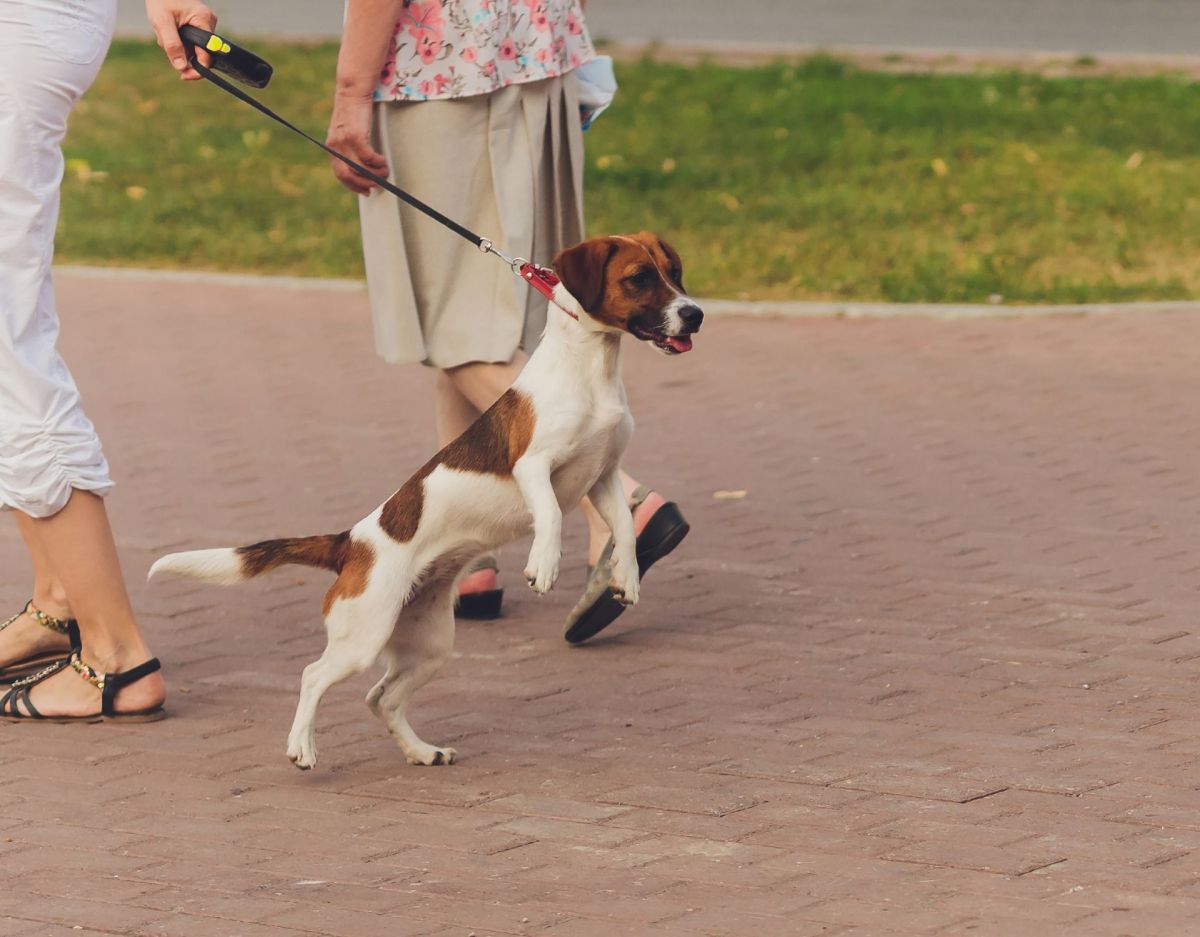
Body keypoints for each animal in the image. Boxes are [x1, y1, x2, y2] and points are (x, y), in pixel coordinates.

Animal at [147, 230, 700, 763]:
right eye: (639, 277)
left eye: (674, 272)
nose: (694, 314)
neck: (587, 369)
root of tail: (350, 542)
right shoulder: (533, 466)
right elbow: (550, 514)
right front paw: (544, 562)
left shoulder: (602, 477)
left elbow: (624, 528)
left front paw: (625, 576)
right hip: (363, 636)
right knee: (313, 675)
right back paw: (302, 746)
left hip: (428, 645)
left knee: (381, 699)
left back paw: (421, 752)